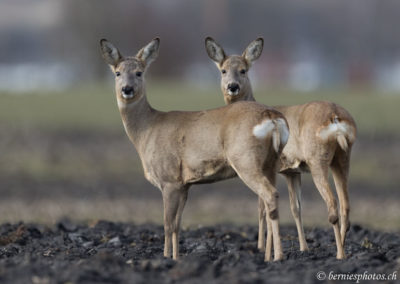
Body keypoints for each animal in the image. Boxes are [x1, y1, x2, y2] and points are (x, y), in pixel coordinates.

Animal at [98, 38, 290, 262]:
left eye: (139, 72)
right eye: (117, 73)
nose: (127, 89)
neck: (147, 131)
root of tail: (272, 118)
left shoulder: (169, 179)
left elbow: (167, 225)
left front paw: (166, 258)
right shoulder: (185, 184)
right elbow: (177, 225)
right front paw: (177, 257)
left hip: (245, 160)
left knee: (270, 195)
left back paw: (278, 257)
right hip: (271, 163)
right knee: (268, 203)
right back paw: (269, 256)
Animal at [206, 36, 356, 258]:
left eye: (243, 70)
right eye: (223, 70)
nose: (232, 86)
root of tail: (335, 117)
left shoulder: (267, 166)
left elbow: (262, 207)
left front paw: (263, 249)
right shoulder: (291, 171)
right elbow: (296, 208)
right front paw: (303, 248)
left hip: (318, 158)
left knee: (332, 204)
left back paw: (340, 254)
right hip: (343, 157)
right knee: (346, 205)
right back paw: (343, 248)